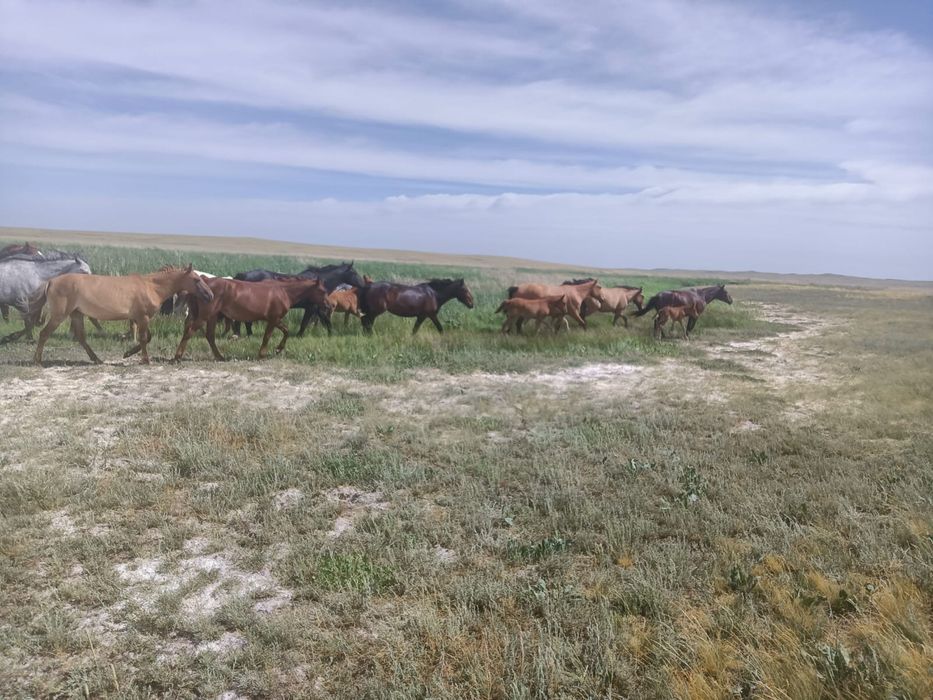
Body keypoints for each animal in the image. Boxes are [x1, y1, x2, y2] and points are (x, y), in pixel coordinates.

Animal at [32, 264, 214, 365]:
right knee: (44, 334)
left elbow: (147, 338)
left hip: (76, 314)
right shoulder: (142, 317)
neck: (151, 287)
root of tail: (51, 281)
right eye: (197, 280)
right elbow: (143, 338)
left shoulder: (138, 318)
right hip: (60, 315)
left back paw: (97, 359)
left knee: (81, 337)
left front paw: (127, 354)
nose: (210, 295)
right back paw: (37, 360)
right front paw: (145, 360)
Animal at [173, 277, 331, 361]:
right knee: (191, 331)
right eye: (323, 291)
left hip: (212, 316)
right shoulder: (273, 319)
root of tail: (205, 281)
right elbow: (267, 336)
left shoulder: (275, 319)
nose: (329, 306)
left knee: (209, 336)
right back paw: (177, 356)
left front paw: (278, 349)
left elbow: (286, 331)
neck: (283, 291)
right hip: (206, 315)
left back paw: (220, 357)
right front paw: (263, 354)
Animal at [232, 261, 365, 337]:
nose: (363, 285)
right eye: (354, 272)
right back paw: (244, 335)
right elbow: (305, 323)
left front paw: (331, 334)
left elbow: (325, 321)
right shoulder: (312, 308)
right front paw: (299, 335)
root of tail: (243, 275)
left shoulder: (318, 308)